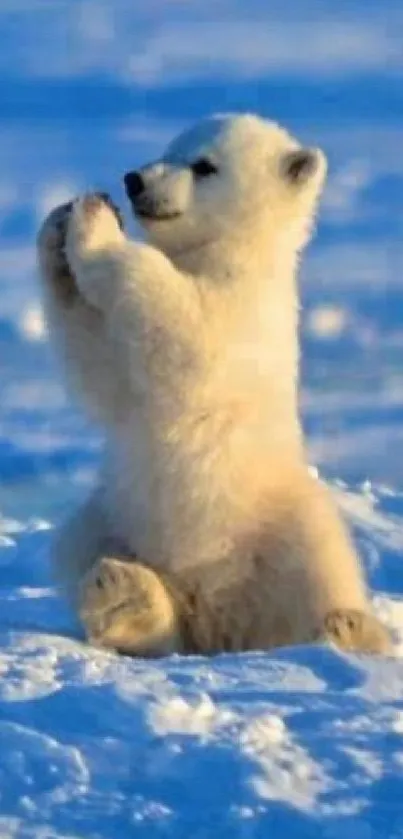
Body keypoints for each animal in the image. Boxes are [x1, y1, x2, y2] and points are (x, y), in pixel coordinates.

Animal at [37, 115, 392, 660]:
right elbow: (105, 372)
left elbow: (179, 325)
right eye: (170, 148)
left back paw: (348, 627)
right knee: (80, 550)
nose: (133, 181)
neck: (231, 255)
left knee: (318, 581)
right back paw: (124, 598)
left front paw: (94, 226)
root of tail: (218, 618)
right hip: (115, 516)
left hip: (287, 525)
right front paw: (59, 226)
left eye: (204, 165)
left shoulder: (243, 311)